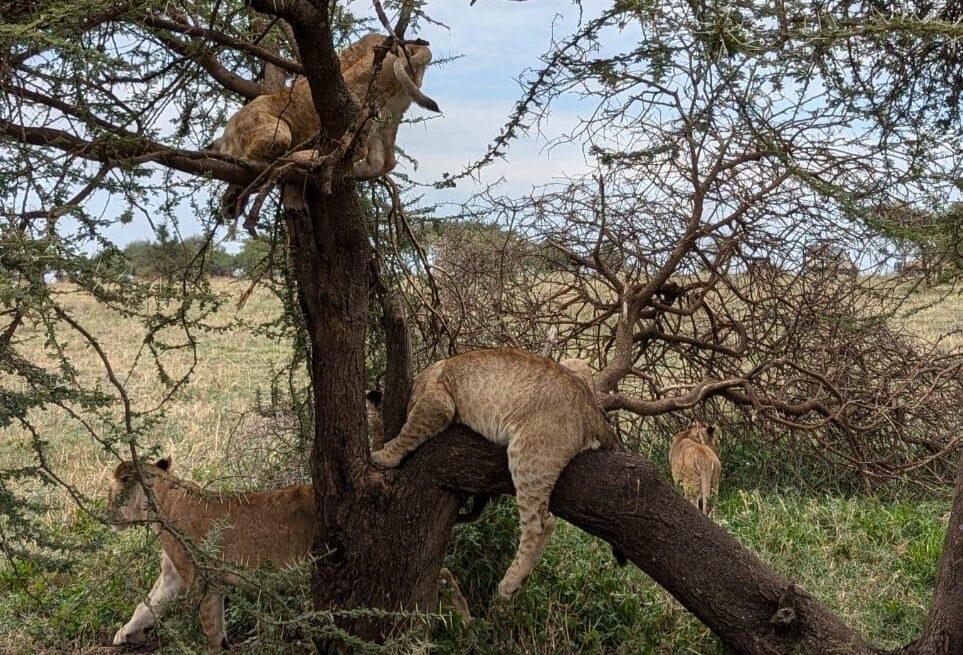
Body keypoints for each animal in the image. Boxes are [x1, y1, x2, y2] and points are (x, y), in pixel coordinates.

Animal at [214, 32, 439, 220]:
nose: (228, 209)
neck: (230, 138)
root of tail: (409, 45)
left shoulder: (268, 128)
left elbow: (265, 153)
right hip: (391, 113)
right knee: (385, 161)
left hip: (352, 92)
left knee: (356, 148)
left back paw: (304, 158)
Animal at [371, 348, 619, 600]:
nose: (375, 440)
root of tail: (590, 411)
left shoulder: (438, 401)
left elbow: (408, 432)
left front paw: (383, 456)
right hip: (575, 364)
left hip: (529, 457)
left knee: (540, 525)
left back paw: (510, 583)